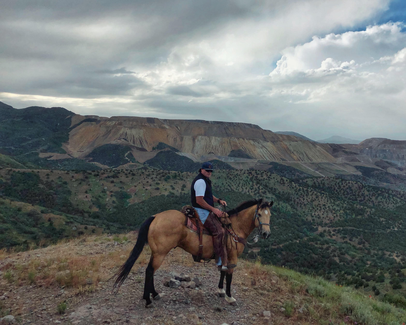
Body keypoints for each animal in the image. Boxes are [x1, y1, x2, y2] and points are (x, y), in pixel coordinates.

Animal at [112, 197, 274, 306]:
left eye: (270, 215)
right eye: (259, 214)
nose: (266, 234)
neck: (235, 227)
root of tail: (156, 216)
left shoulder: (224, 255)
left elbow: (222, 271)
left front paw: (221, 291)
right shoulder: (233, 257)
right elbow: (229, 276)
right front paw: (229, 296)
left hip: (156, 253)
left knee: (150, 271)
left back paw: (155, 294)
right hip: (160, 254)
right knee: (150, 271)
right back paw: (148, 299)